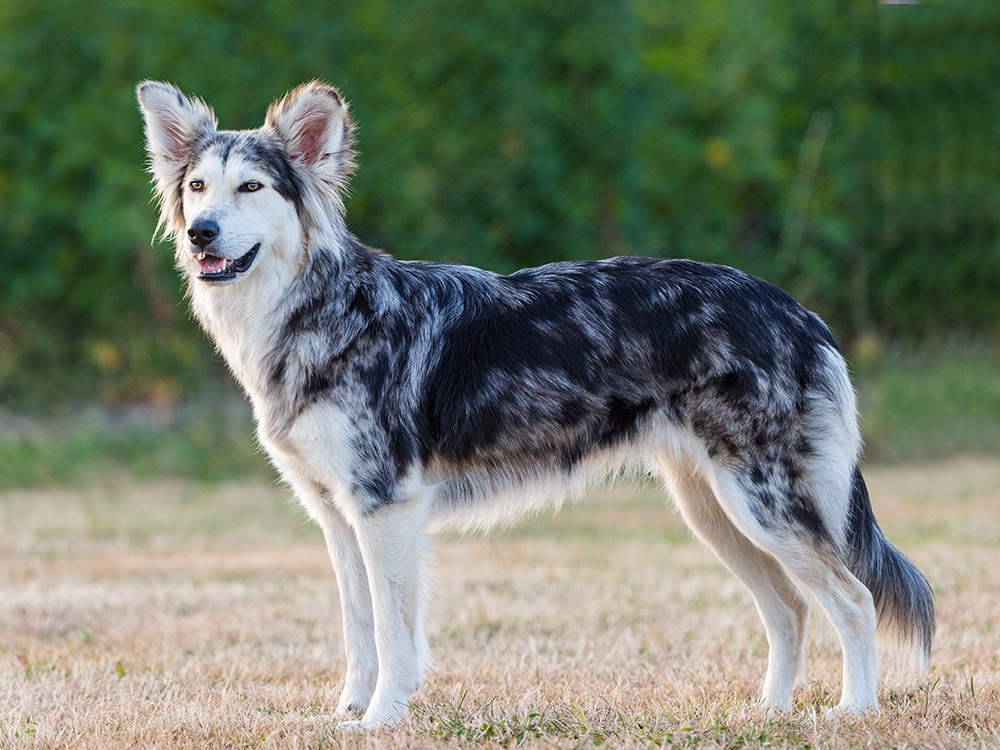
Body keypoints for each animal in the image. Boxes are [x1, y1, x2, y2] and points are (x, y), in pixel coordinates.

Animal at [137, 81, 932, 728]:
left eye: (250, 188)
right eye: (198, 186)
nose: (201, 232)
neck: (322, 308)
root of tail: (798, 311)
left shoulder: (386, 510)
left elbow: (394, 634)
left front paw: (382, 719)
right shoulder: (338, 516)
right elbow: (360, 630)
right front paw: (347, 714)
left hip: (763, 507)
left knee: (851, 599)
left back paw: (854, 713)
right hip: (716, 512)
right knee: (791, 608)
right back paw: (769, 714)